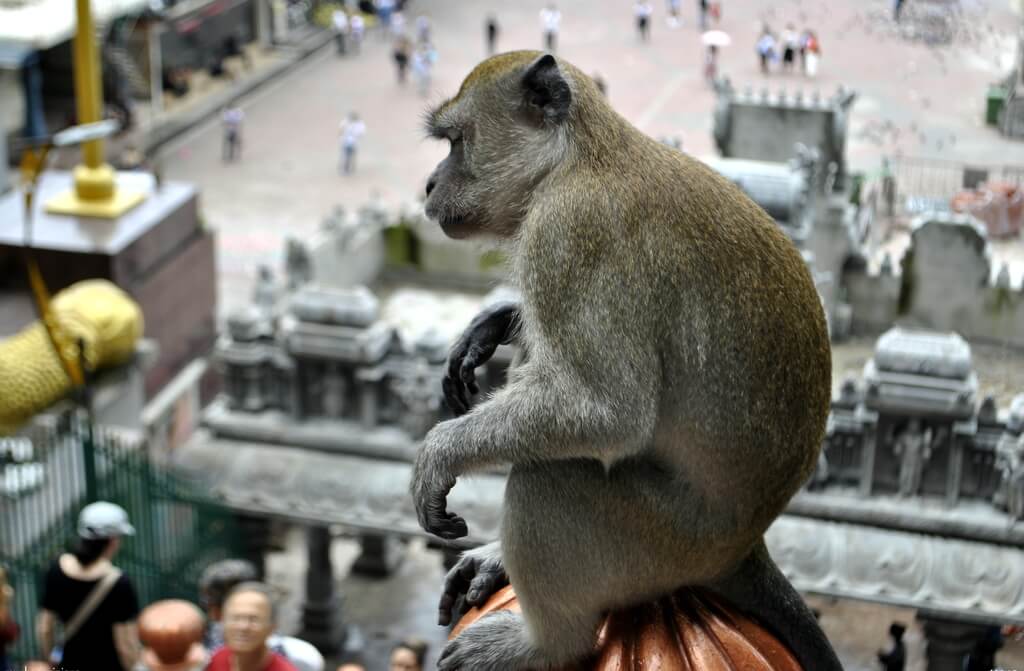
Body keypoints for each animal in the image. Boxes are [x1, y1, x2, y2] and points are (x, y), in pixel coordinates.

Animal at [407, 52, 839, 671]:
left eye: (456, 141)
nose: (430, 182)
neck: (575, 159)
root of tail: (744, 548)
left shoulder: (567, 234)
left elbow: (607, 411)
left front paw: (439, 452)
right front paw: (494, 321)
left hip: (657, 545)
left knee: (552, 472)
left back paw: (547, 646)